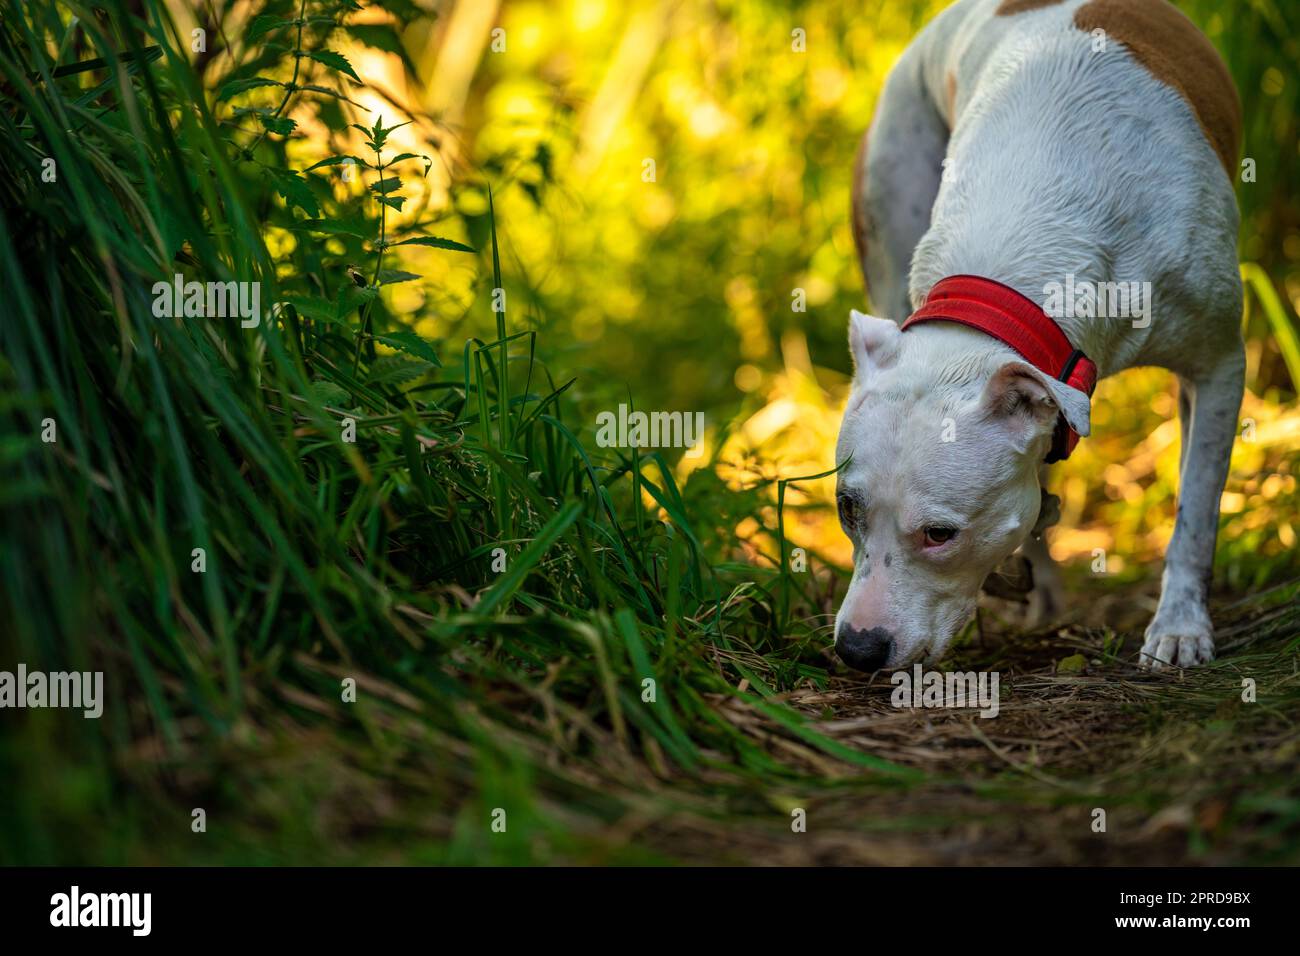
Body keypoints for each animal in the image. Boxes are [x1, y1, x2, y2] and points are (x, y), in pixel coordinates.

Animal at [837, 0, 1242, 671]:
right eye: (848, 509)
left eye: (940, 534)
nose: (857, 648)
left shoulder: (1219, 366)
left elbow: (1196, 511)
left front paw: (1180, 627)